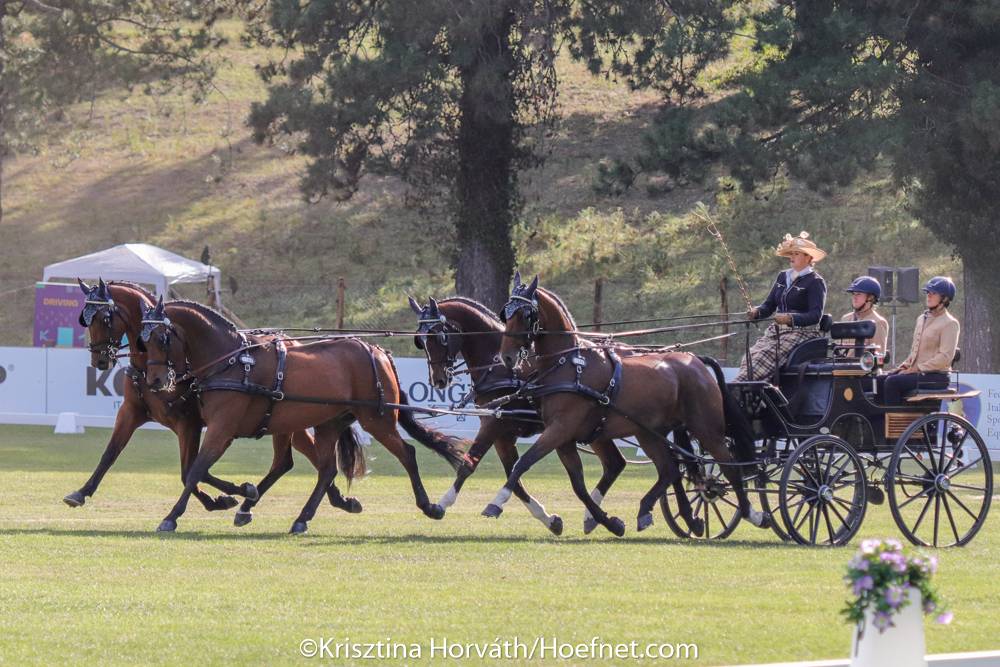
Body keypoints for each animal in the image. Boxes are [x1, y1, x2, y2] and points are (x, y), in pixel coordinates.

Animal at [139, 300, 466, 536]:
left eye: (161, 338)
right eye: (143, 341)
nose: (155, 380)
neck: (232, 361)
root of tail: (378, 350)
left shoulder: (222, 429)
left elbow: (196, 470)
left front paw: (171, 517)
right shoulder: (227, 430)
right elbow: (198, 470)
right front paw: (242, 494)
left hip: (377, 419)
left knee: (406, 454)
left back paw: (429, 506)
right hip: (326, 423)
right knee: (322, 469)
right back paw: (297, 517)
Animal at [488, 276, 768, 536]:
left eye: (525, 315)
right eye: (506, 313)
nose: (507, 357)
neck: (568, 364)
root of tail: (695, 360)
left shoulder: (561, 429)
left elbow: (523, 463)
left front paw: (497, 502)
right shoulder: (563, 437)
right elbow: (578, 485)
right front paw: (610, 523)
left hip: (706, 429)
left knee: (729, 468)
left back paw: (753, 513)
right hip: (649, 432)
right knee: (670, 469)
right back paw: (663, 514)